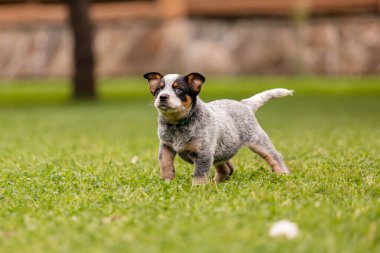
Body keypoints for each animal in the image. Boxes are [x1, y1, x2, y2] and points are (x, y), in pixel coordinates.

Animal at [144, 72, 292, 185]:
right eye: (158, 90)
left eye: (178, 89)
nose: (162, 97)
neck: (177, 124)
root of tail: (245, 104)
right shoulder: (166, 146)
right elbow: (165, 164)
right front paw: (166, 181)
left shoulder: (204, 153)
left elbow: (199, 173)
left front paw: (197, 188)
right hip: (221, 150)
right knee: (227, 169)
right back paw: (215, 183)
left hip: (258, 141)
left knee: (275, 156)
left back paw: (283, 175)